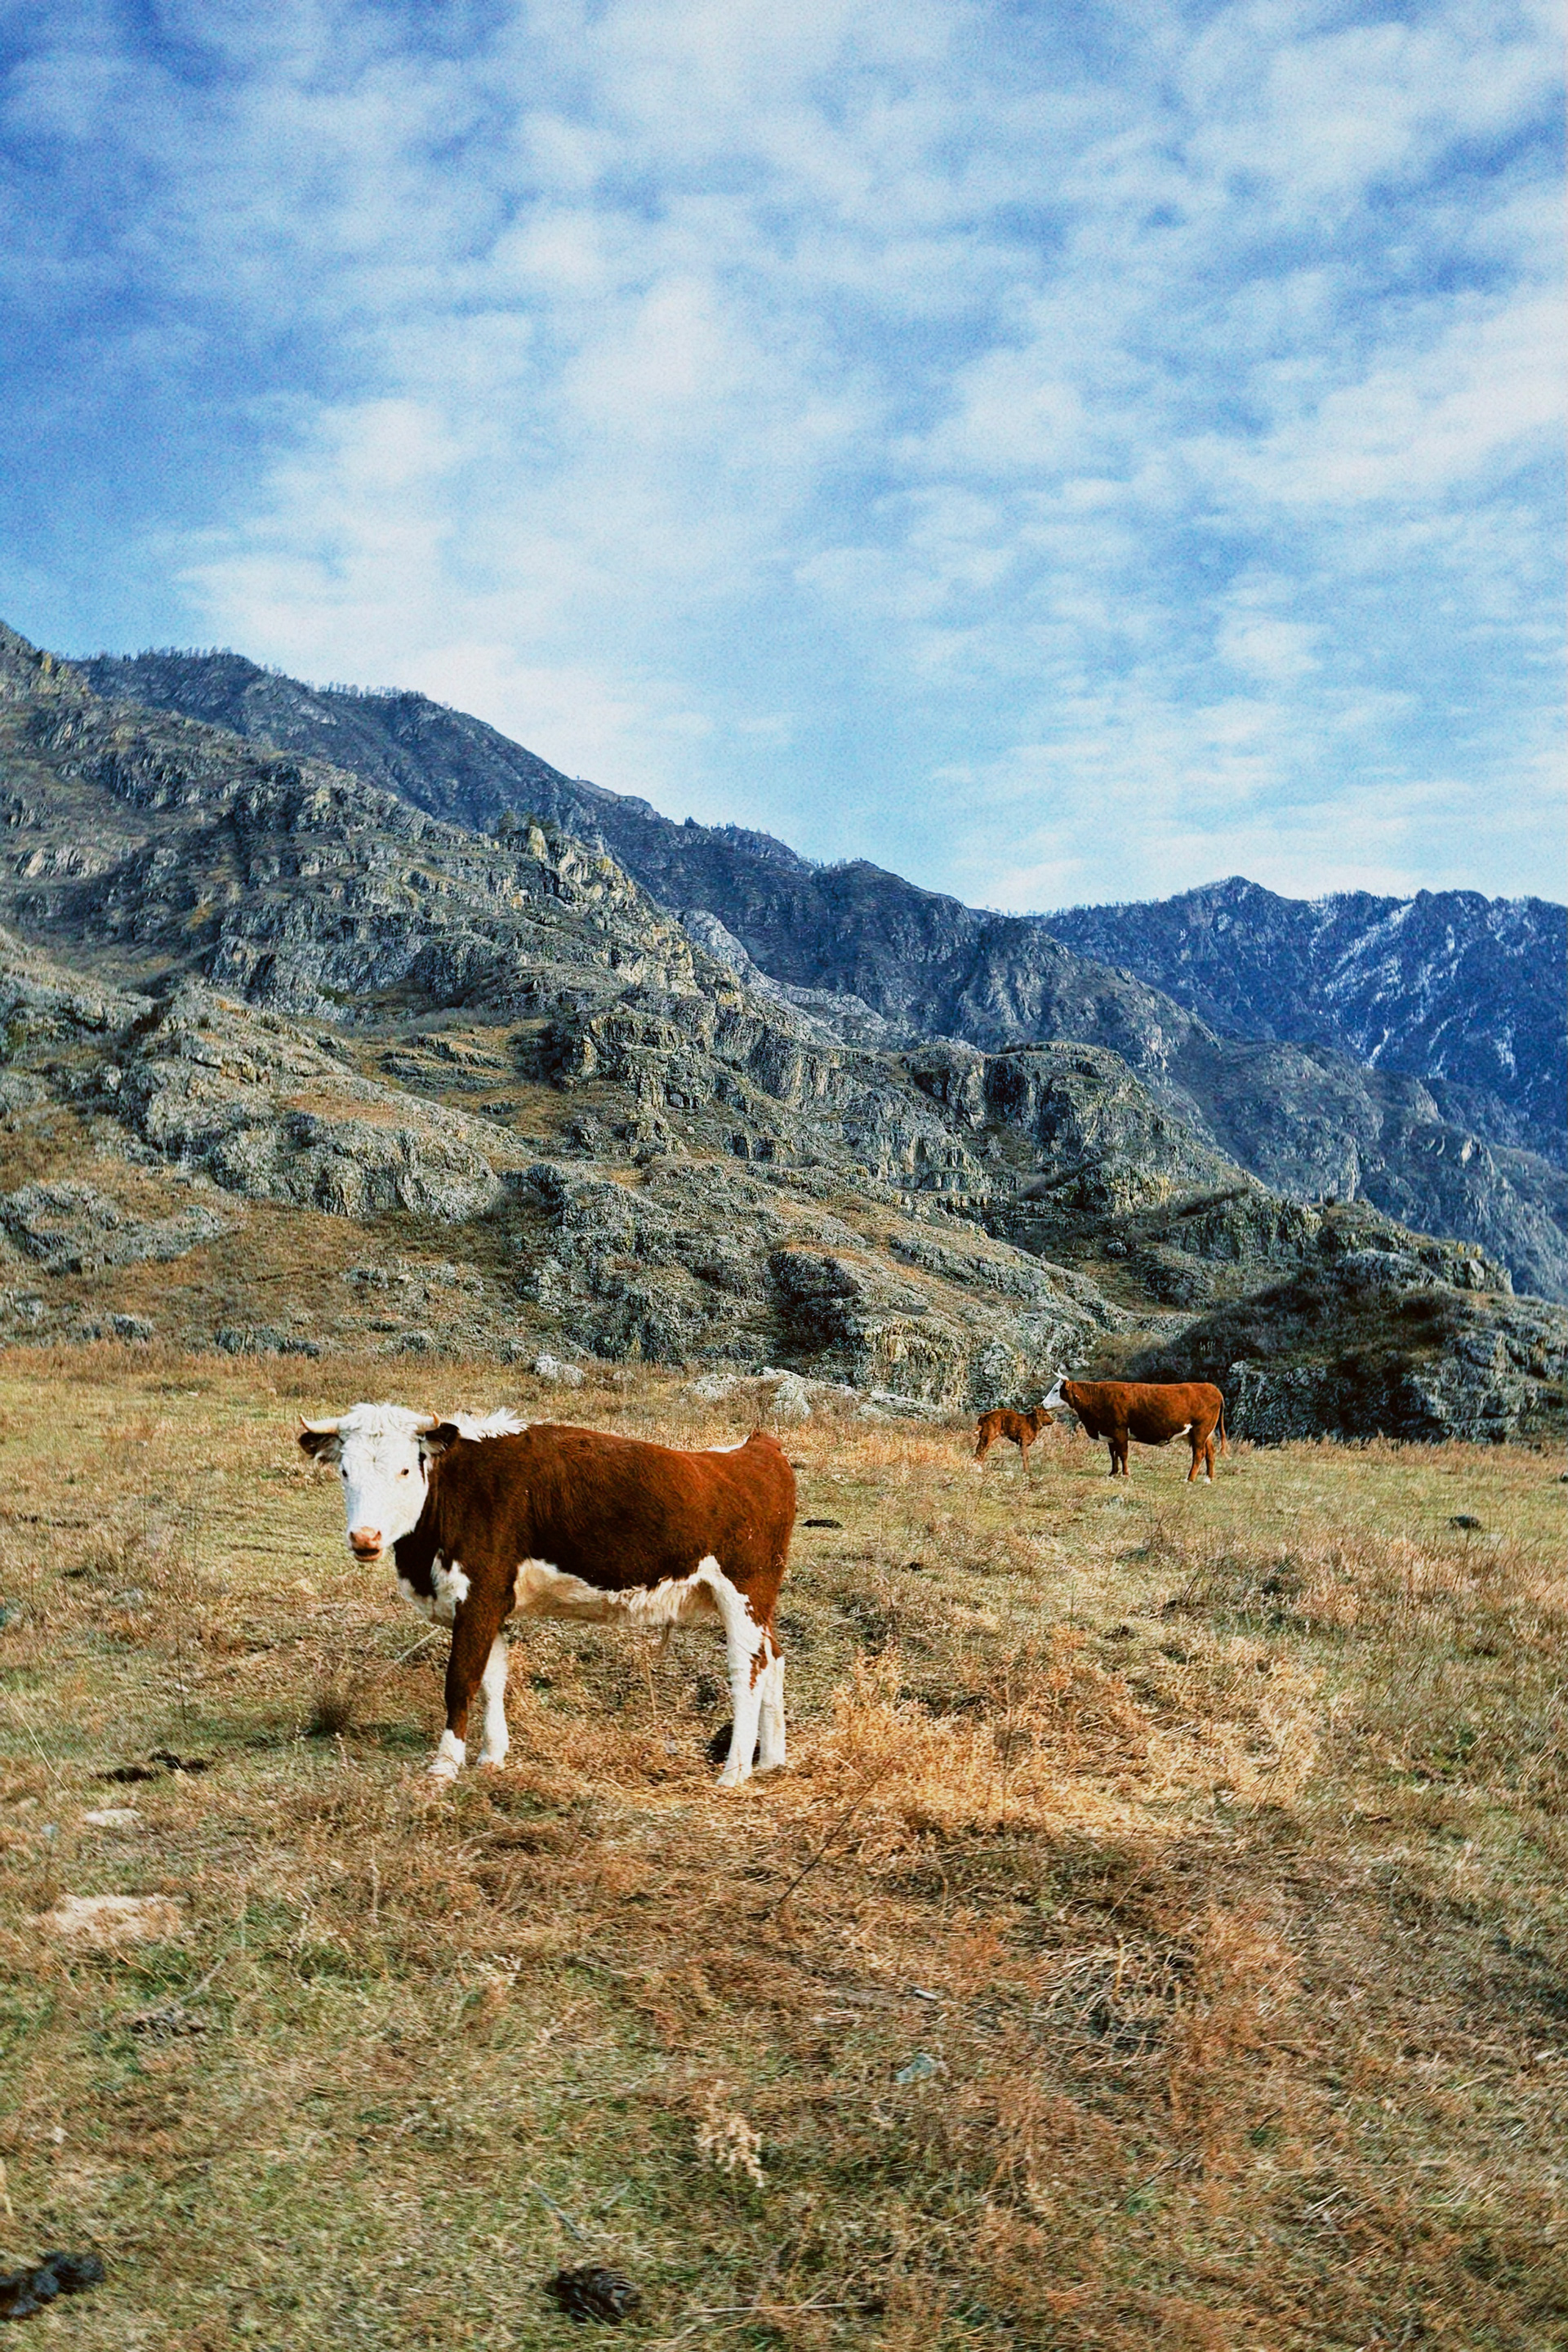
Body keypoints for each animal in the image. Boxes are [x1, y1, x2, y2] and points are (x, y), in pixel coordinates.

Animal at [298, 1404, 795, 1788]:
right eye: (345, 1470)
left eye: (404, 1469)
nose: (365, 1537)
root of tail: (755, 1448)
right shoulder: (492, 1603)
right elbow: (492, 1678)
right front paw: (491, 1757)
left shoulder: (477, 1596)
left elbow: (461, 1680)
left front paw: (444, 1768)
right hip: (758, 1603)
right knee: (774, 1656)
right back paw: (771, 1760)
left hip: (744, 1594)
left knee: (747, 1671)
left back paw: (735, 1771)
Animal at [1044, 1375, 1227, 1482]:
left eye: (1056, 1390)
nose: (1043, 1404)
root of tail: (1211, 1387)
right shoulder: (1110, 1433)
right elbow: (1113, 1454)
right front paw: (1113, 1473)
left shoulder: (1119, 1430)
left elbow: (1123, 1453)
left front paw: (1125, 1473)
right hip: (1206, 1434)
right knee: (1210, 1453)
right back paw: (1208, 1478)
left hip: (1200, 1431)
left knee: (1199, 1454)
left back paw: (1190, 1478)